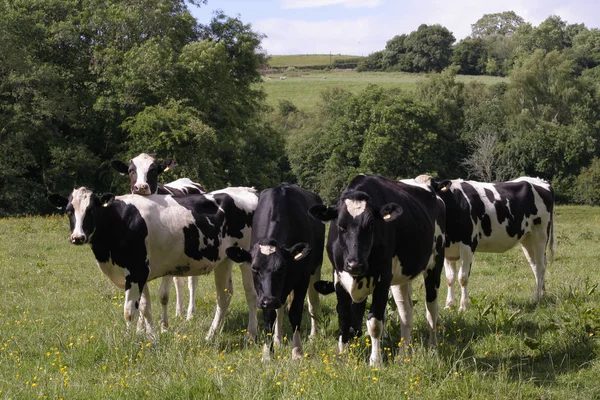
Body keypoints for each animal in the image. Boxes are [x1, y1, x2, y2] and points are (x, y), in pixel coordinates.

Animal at [48, 185, 258, 340]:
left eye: (91, 210)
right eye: (69, 211)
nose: (77, 237)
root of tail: (249, 191)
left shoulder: (136, 271)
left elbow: (129, 311)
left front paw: (128, 340)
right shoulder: (139, 273)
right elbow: (144, 307)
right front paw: (152, 336)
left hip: (247, 259)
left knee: (251, 295)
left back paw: (250, 335)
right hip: (225, 259)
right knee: (224, 296)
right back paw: (211, 335)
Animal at [111, 152, 207, 324]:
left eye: (153, 170)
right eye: (131, 170)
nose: (141, 187)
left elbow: (163, 295)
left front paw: (163, 325)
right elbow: (142, 301)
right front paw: (141, 327)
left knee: (192, 282)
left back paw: (190, 314)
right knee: (179, 281)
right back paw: (179, 312)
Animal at [227, 184, 326, 362]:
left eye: (281, 268)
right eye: (254, 268)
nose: (269, 300)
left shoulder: (302, 279)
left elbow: (295, 313)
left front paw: (297, 351)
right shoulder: (265, 293)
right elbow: (269, 316)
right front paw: (268, 353)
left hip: (316, 268)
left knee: (313, 302)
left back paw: (314, 335)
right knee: (280, 309)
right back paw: (278, 339)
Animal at [310, 173, 446, 368]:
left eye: (371, 225)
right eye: (341, 226)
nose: (354, 264)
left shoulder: (383, 279)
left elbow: (375, 323)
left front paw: (375, 361)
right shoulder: (338, 278)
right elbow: (344, 317)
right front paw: (342, 356)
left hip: (435, 263)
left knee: (432, 308)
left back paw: (433, 347)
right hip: (401, 279)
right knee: (406, 312)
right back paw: (403, 354)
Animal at [426, 177, 556, 310]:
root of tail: (541, 181)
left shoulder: (468, 245)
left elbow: (462, 278)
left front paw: (463, 307)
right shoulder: (448, 250)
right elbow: (449, 278)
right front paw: (449, 305)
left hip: (540, 235)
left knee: (540, 266)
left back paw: (536, 297)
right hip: (527, 239)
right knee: (535, 265)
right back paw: (542, 293)